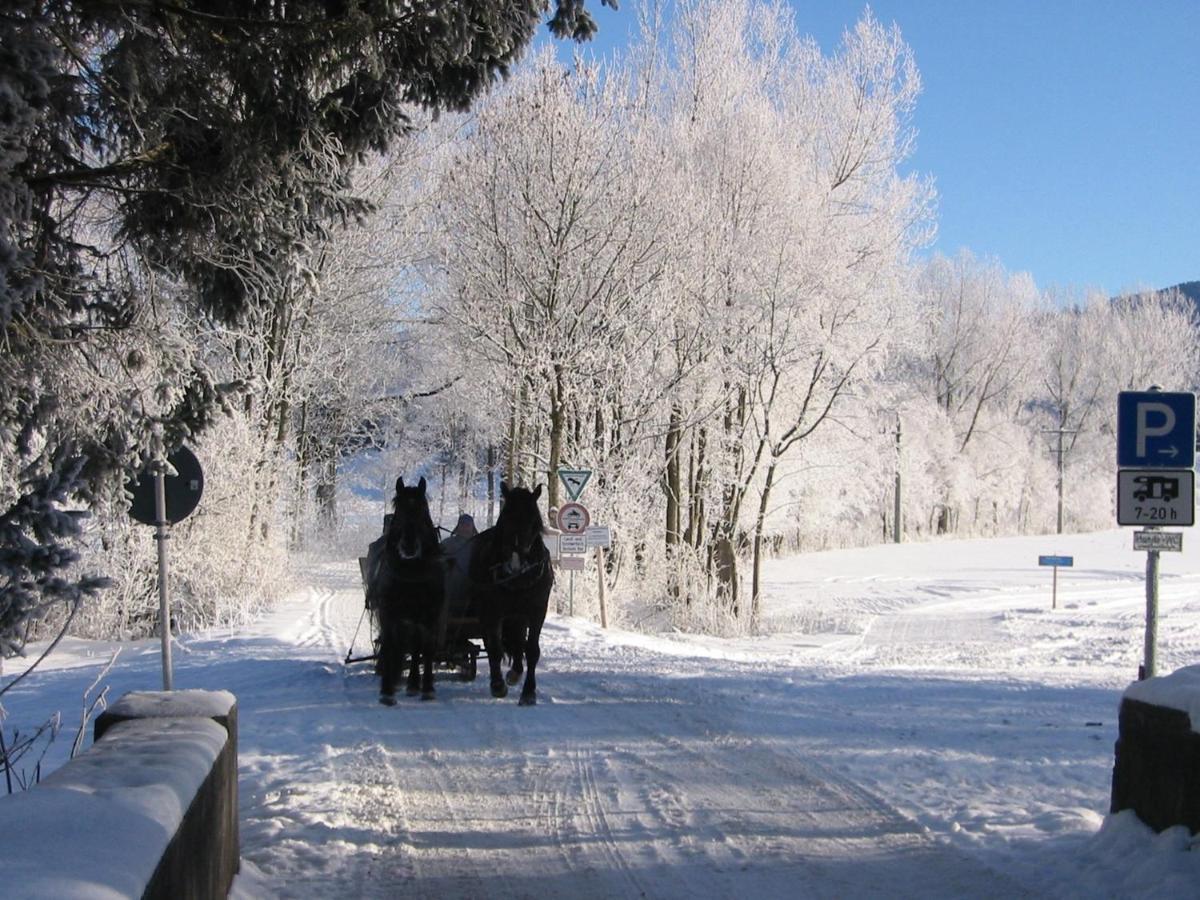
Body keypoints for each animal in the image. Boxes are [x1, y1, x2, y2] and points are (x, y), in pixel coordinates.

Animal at [364, 475, 446, 710]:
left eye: (423, 510)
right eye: (398, 510)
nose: (408, 545)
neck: (411, 572)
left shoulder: (430, 615)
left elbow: (426, 647)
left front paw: (427, 688)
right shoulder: (388, 614)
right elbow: (390, 644)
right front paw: (387, 691)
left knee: (416, 647)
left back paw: (413, 683)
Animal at [465, 482, 554, 710]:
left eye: (533, 521)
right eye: (505, 517)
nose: (515, 563)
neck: (517, 579)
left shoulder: (536, 611)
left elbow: (531, 649)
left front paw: (529, 692)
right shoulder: (492, 612)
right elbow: (495, 648)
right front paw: (498, 685)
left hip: (518, 616)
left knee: (518, 641)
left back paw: (515, 672)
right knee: (492, 643)